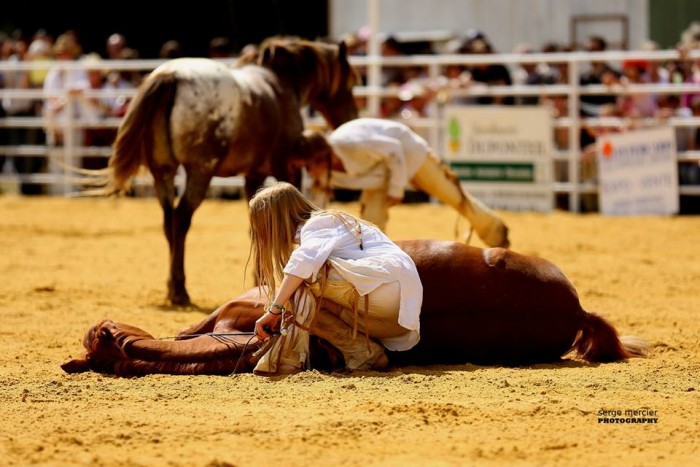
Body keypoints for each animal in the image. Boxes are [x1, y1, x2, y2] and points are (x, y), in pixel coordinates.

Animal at [102, 36, 360, 308]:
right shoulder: (285, 168)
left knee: (169, 221)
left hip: (163, 172)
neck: (279, 83)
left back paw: (173, 286)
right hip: (200, 171)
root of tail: (171, 77)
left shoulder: (253, 176)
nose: (350, 118)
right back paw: (180, 291)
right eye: (351, 82)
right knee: (181, 219)